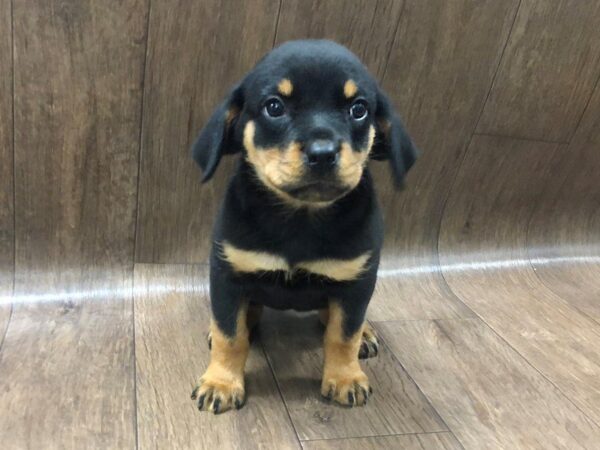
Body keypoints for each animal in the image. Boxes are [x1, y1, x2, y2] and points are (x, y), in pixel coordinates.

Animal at [190, 40, 414, 414]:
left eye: (359, 109)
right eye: (274, 106)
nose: (322, 153)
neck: (301, 217)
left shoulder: (356, 282)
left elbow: (343, 335)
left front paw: (344, 377)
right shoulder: (228, 274)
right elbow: (230, 336)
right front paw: (221, 382)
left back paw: (366, 334)